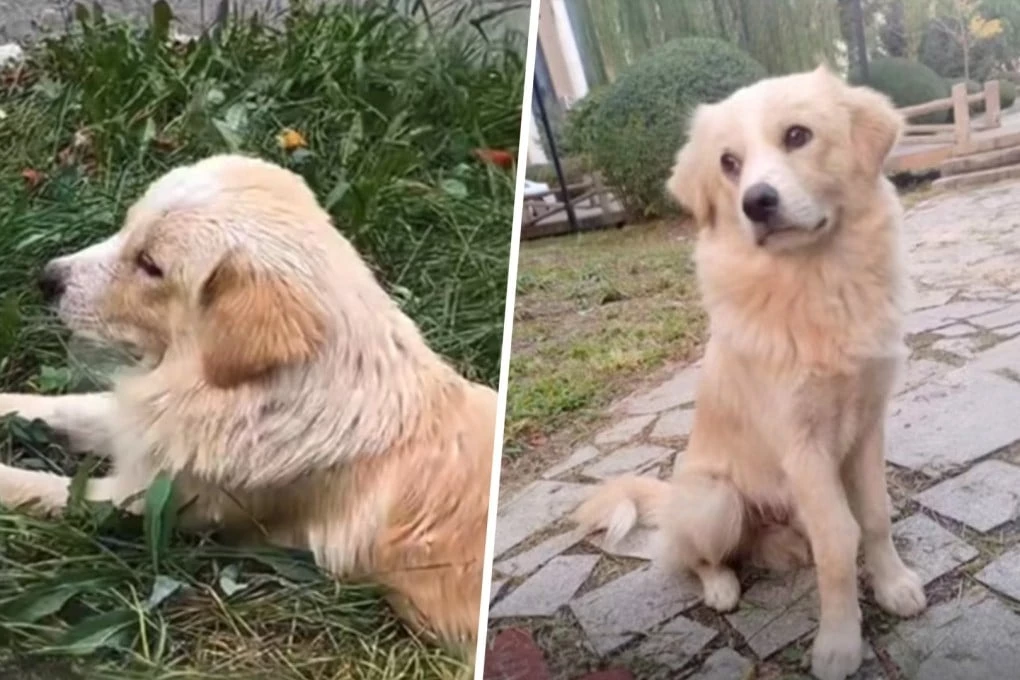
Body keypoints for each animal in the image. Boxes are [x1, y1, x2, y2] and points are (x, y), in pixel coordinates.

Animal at [0, 155, 495, 660]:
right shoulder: (146, 431)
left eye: (150, 265)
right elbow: (63, 408)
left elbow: (38, 487)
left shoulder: (141, 501)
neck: (255, 392)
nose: (46, 278)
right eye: (125, 227)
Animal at [575, 65, 926, 680]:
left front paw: (893, 585)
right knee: (695, 557)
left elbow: (875, 517)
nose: (756, 203)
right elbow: (839, 541)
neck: (817, 281)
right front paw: (839, 642)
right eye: (729, 163)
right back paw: (720, 587)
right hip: (716, 502)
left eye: (797, 136)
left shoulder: (867, 425)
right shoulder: (801, 445)